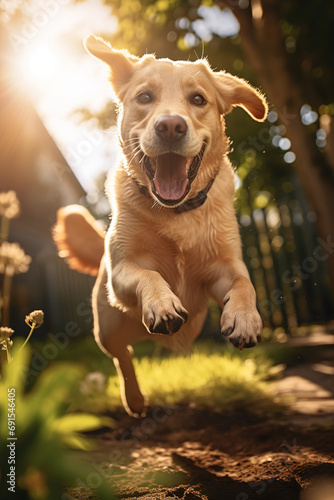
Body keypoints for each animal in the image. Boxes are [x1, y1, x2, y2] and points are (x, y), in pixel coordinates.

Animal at [54, 35, 268, 416]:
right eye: (144, 97)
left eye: (198, 99)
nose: (170, 125)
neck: (176, 212)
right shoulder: (122, 270)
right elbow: (148, 275)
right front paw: (161, 304)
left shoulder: (222, 268)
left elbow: (244, 283)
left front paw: (244, 318)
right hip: (106, 328)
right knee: (122, 356)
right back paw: (135, 400)